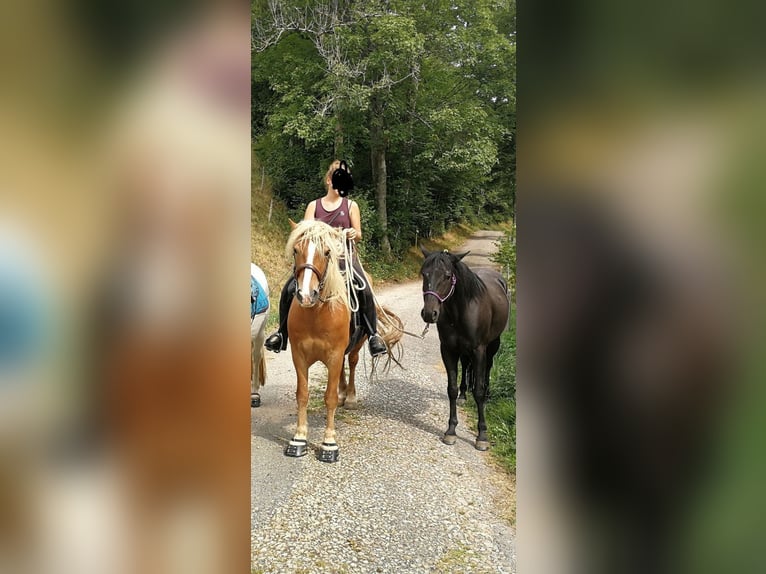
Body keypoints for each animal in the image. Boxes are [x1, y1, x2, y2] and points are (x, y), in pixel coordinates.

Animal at [420, 250, 510, 452]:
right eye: (424, 274)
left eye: (447, 276)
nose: (429, 314)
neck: (461, 311)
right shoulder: (448, 350)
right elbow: (451, 389)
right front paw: (451, 431)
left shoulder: (479, 350)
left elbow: (478, 391)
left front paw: (482, 436)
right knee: (466, 366)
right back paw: (463, 394)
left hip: (493, 345)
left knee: (488, 368)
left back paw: (488, 392)